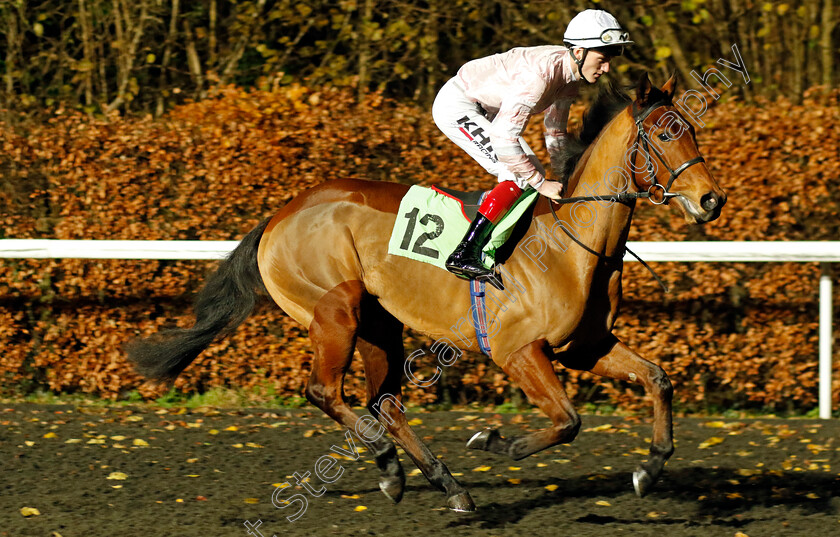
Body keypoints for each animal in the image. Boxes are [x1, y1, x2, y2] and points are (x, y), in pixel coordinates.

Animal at [126, 74, 728, 510]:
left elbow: (658, 379)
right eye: (665, 133)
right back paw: (391, 464)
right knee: (325, 392)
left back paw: (441, 483)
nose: (711, 200)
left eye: (694, 129)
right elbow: (568, 420)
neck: (572, 242)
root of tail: (280, 214)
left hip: (379, 324)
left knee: (385, 403)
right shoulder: (518, 351)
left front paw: (648, 469)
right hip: (335, 312)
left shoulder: (585, 348)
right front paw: (497, 443)